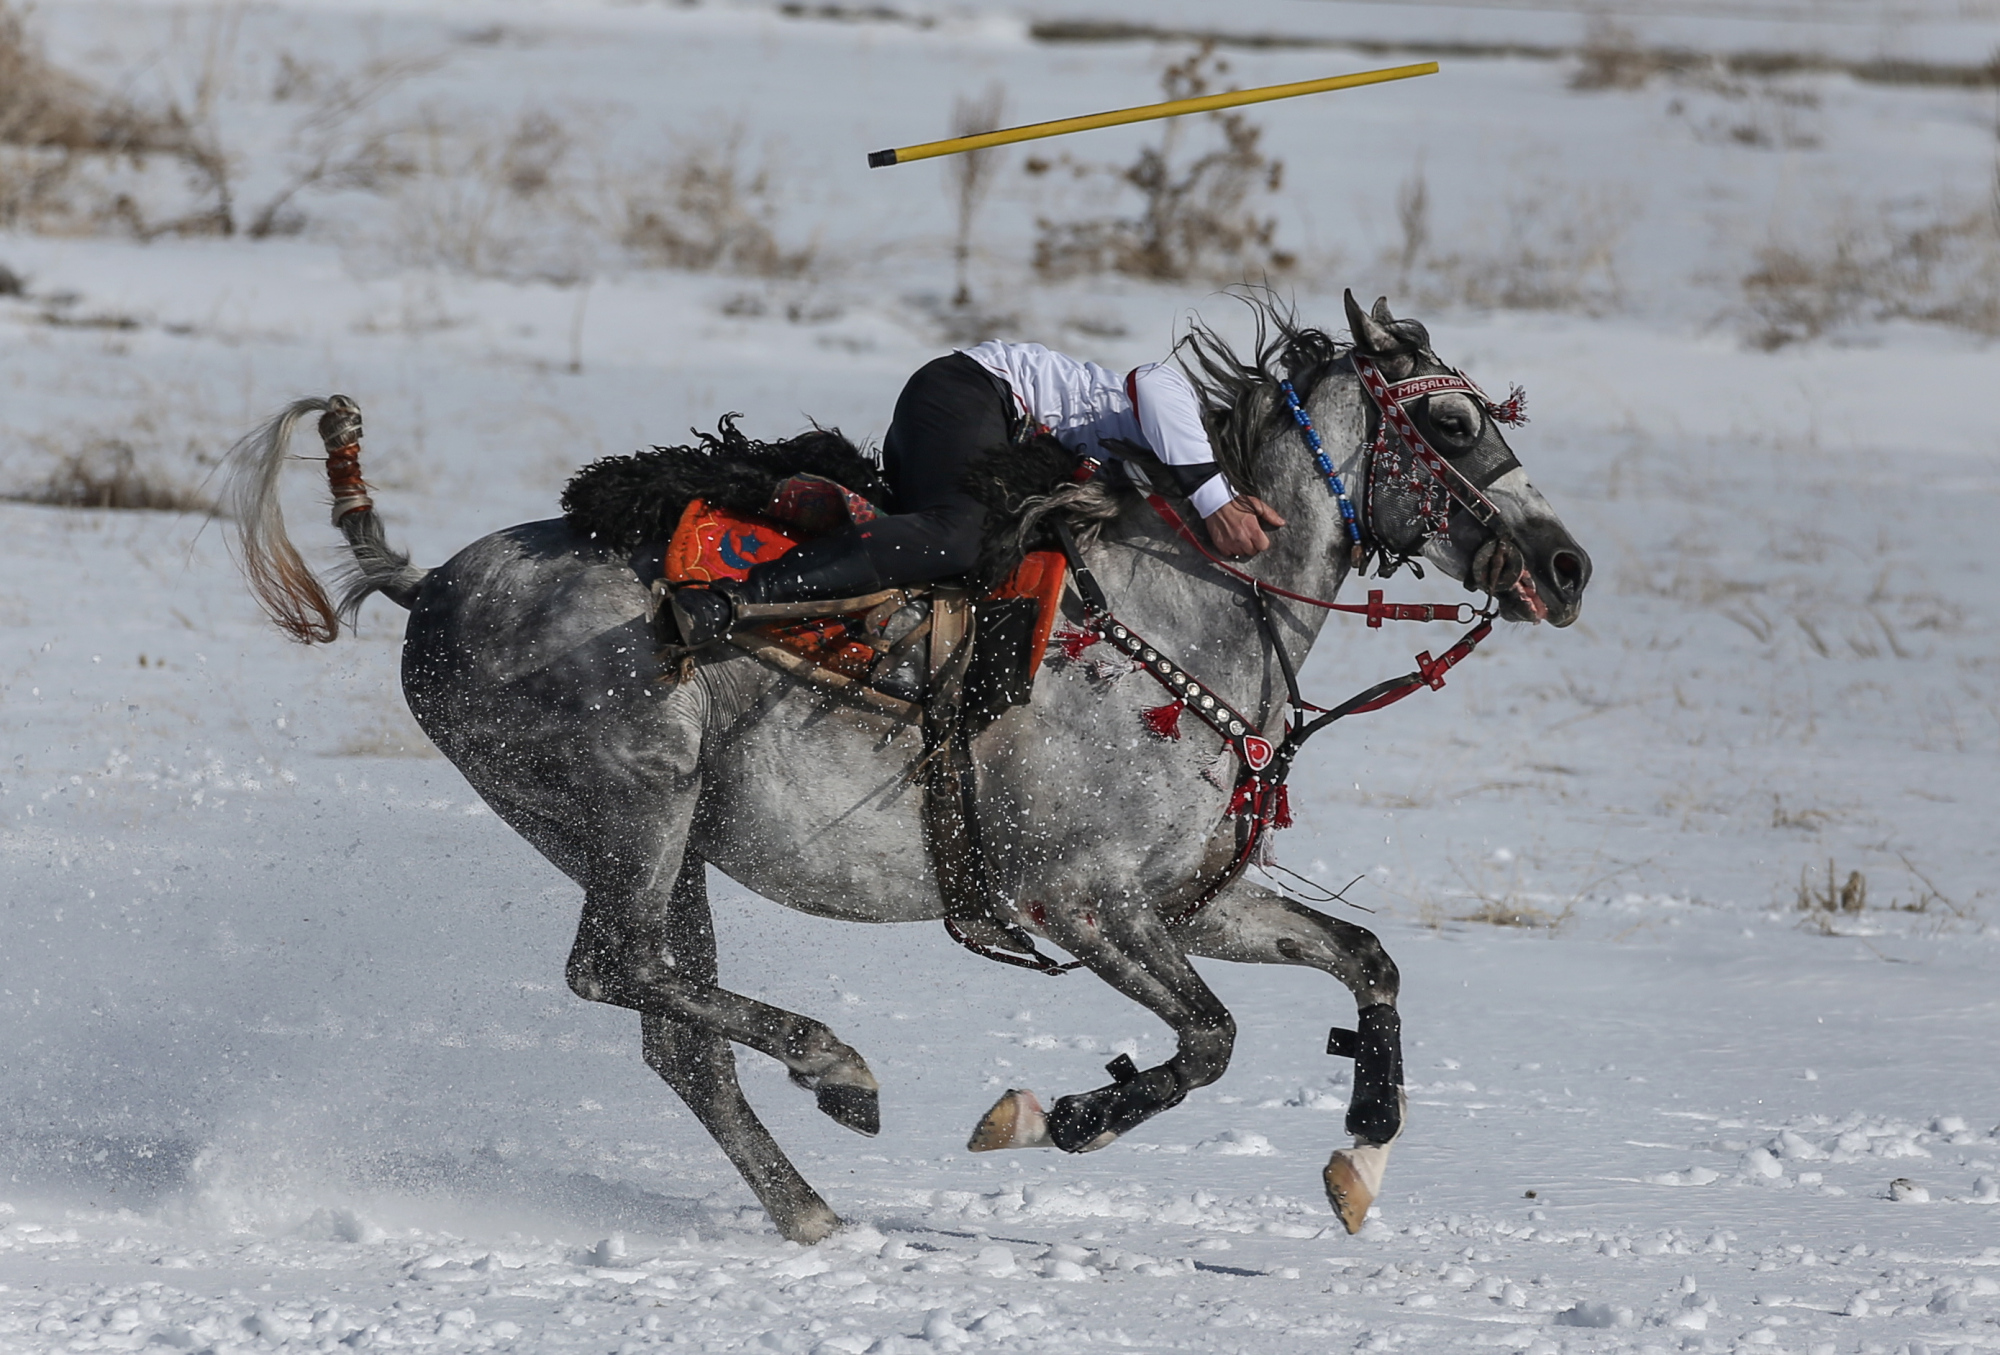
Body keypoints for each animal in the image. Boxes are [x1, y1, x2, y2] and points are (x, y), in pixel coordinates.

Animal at [223, 291, 1592, 1247]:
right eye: (1451, 421)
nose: (1567, 566)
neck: (1192, 609)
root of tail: (428, 584)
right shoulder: (1084, 901)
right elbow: (1207, 1039)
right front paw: (1052, 1117)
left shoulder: (1180, 898)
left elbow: (1365, 960)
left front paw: (1360, 1159)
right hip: (635, 803)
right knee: (613, 970)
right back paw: (838, 1066)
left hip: (661, 844)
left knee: (674, 1027)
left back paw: (813, 1208)